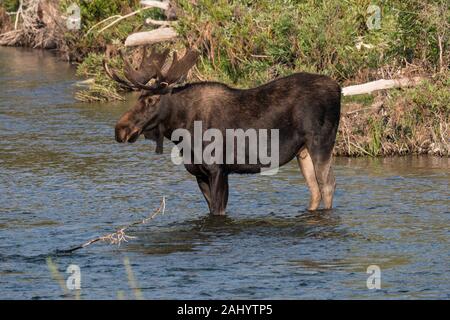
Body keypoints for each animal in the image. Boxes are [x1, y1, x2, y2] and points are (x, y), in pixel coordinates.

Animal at [103, 47, 340, 215]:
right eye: (137, 98)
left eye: (151, 100)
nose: (120, 130)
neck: (184, 132)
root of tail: (338, 88)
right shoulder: (199, 173)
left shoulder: (218, 169)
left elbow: (219, 210)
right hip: (302, 150)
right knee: (315, 189)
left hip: (321, 142)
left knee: (327, 185)